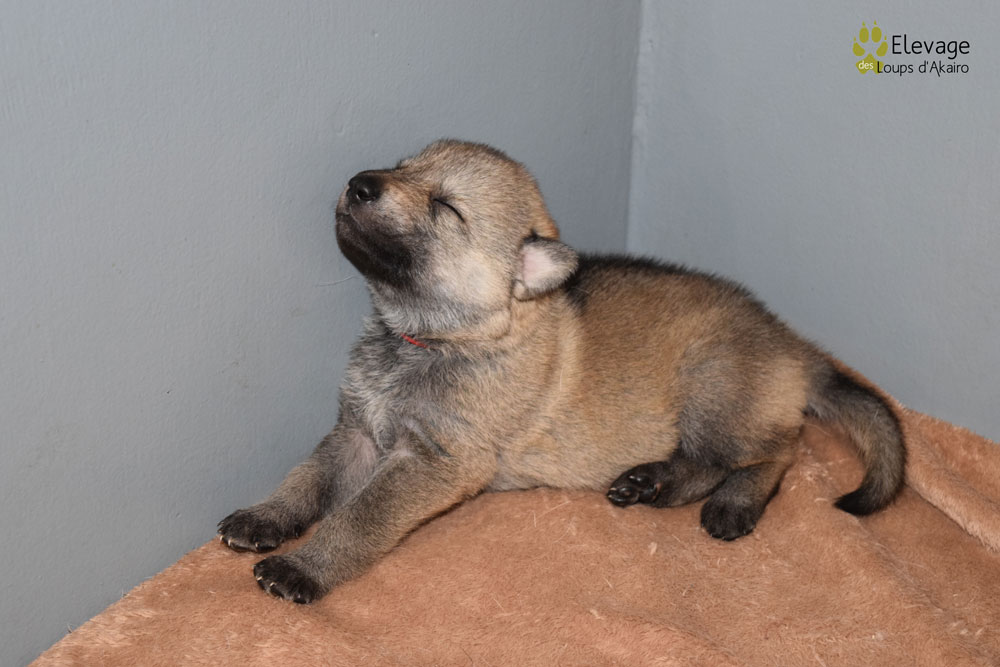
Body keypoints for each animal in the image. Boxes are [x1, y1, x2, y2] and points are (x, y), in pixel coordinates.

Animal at [218, 140, 905, 603]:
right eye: (402, 165)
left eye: (446, 207)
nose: (360, 182)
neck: (430, 341)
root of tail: (790, 343)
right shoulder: (358, 431)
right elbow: (306, 479)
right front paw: (265, 517)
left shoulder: (432, 462)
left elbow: (359, 516)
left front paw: (303, 567)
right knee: (705, 463)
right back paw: (651, 483)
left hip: (713, 390)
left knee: (774, 450)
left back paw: (734, 503)